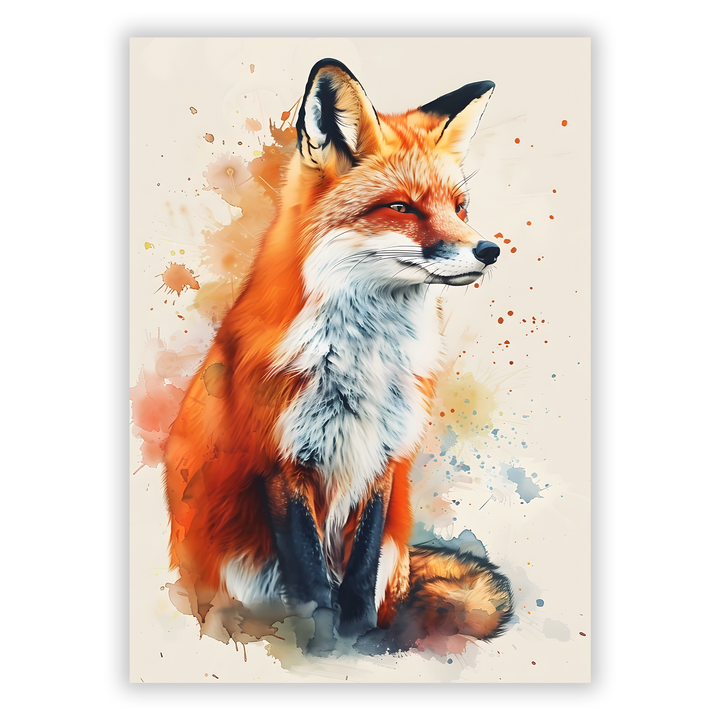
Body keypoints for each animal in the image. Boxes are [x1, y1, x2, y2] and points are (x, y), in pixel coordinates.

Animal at [163, 58, 514, 653]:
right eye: (401, 207)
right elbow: (310, 586)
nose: (488, 250)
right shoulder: (280, 462)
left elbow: (359, 575)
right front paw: (322, 646)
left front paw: (357, 637)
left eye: (460, 207)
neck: (363, 364)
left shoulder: (383, 458)